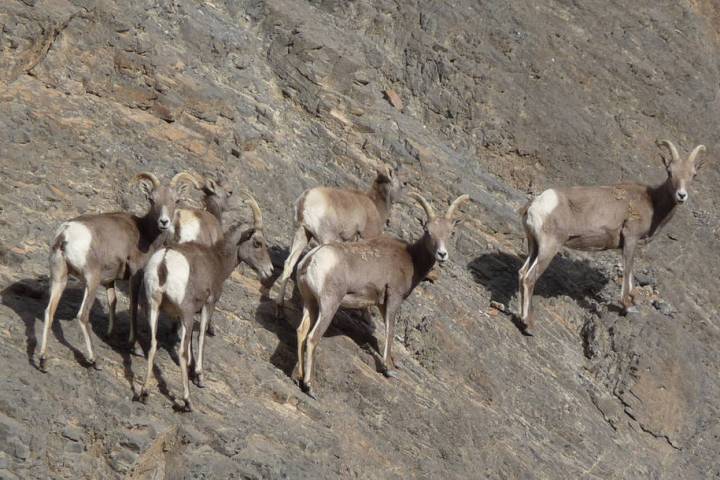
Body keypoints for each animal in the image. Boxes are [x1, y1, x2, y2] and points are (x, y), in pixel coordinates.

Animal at [135, 193, 272, 410]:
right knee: (182, 351)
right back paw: (187, 401)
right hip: (186, 312)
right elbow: (200, 338)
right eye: (257, 243)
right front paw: (199, 376)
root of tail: (164, 263)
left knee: (153, 343)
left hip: (153, 308)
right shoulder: (208, 305)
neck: (216, 260)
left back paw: (144, 393)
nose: (270, 271)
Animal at [278, 165, 404, 316]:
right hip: (326, 239)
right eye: (402, 184)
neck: (375, 206)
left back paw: (279, 309)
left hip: (302, 233)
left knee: (289, 263)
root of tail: (306, 198)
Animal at [296, 191, 470, 398]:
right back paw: (310, 387)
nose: (442, 254)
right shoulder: (393, 298)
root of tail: (311, 259)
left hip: (310, 304)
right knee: (312, 338)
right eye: (428, 231)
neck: (411, 259)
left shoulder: (380, 303)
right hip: (329, 305)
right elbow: (390, 330)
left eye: (450, 233)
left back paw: (299, 377)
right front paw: (388, 369)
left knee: (301, 332)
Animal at [516, 139, 708, 334]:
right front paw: (627, 306)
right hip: (549, 247)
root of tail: (535, 205)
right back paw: (529, 325)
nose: (681, 195)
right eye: (670, 172)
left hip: (534, 247)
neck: (652, 203)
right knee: (529, 278)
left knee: (522, 273)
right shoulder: (630, 239)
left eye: (693, 174)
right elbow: (628, 269)